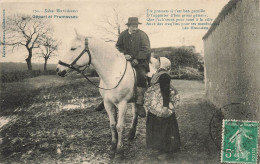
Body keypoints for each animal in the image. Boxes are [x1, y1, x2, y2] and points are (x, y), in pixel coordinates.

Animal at [56, 31, 157, 160]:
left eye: (73, 48)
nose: (58, 69)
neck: (112, 73)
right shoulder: (108, 103)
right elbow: (112, 125)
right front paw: (113, 147)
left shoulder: (122, 104)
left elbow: (120, 126)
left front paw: (119, 152)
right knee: (135, 113)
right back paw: (131, 134)